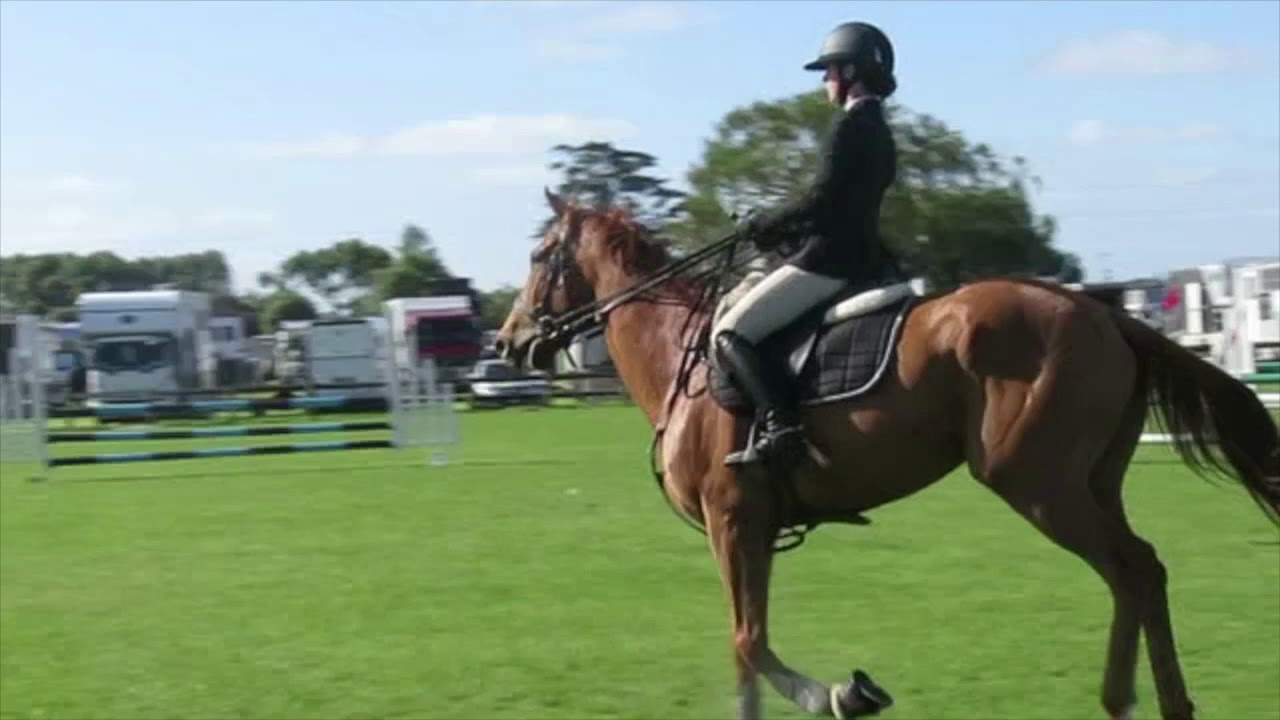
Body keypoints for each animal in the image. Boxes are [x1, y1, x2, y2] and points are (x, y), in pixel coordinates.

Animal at [495, 189, 1280, 720]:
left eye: (538, 256)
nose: (509, 343)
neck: (677, 353)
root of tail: (1105, 314)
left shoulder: (732, 518)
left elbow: (750, 642)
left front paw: (845, 691)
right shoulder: (752, 527)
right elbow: (745, 641)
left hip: (1038, 485)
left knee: (1132, 569)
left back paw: (1142, 701)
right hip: (1091, 483)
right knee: (1137, 572)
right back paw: (1138, 700)